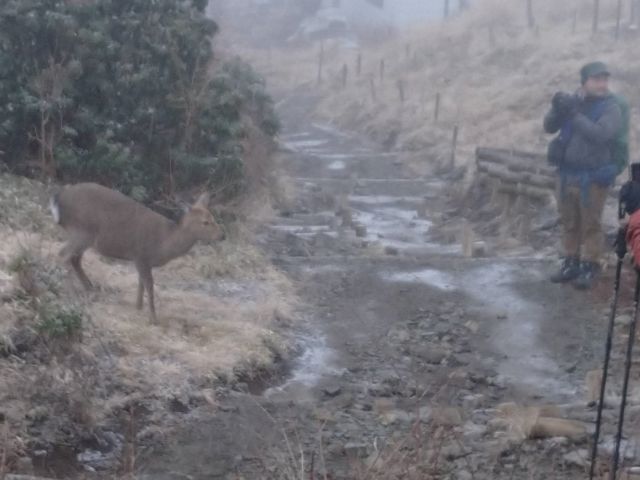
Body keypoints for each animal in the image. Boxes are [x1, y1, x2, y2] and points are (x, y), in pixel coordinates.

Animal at [49, 182, 225, 324]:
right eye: (205, 222)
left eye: (213, 217)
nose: (222, 236)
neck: (164, 243)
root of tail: (59, 198)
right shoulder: (141, 255)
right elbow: (149, 285)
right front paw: (153, 318)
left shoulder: (140, 260)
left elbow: (141, 282)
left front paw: (138, 307)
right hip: (82, 231)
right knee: (63, 255)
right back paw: (68, 291)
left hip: (84, 236)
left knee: (74, 259)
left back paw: (90, 288)